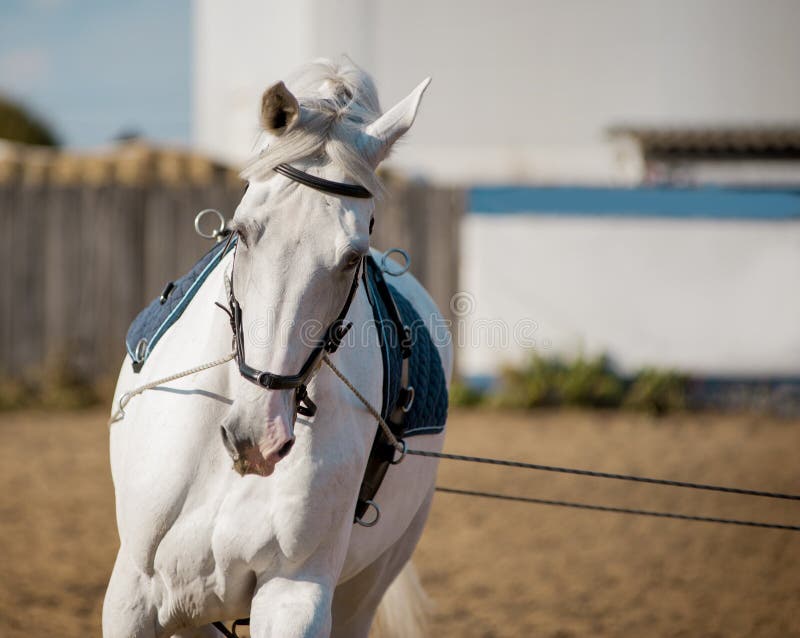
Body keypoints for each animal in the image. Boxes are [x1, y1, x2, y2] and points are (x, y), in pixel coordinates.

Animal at [102, 57, 450, 636]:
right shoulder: (133, 596)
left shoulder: (295, 595)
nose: (257, 439)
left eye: (353, 258)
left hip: (368, 585)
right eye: (241, 233)